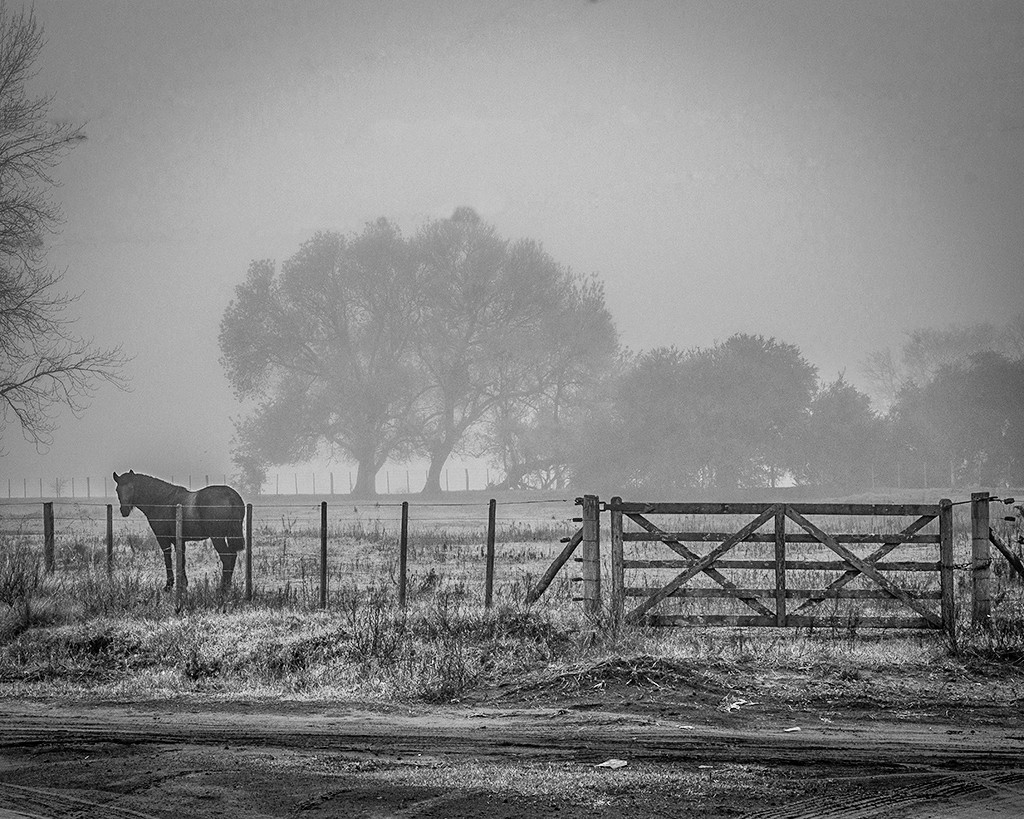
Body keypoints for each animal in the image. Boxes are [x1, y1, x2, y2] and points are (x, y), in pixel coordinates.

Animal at [113, 470, 245, 593]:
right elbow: (182, 560)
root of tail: (231, 496)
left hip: (217, 537)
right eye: (117, 489)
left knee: (227, 558)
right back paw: (226, 586)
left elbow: (168, 559)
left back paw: (222, 588)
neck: (162, 501)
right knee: (232, 557)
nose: (124, 510)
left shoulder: (163, 539)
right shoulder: (179, 541)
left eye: (132, 488)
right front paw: (183, 585)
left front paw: (169, 585)